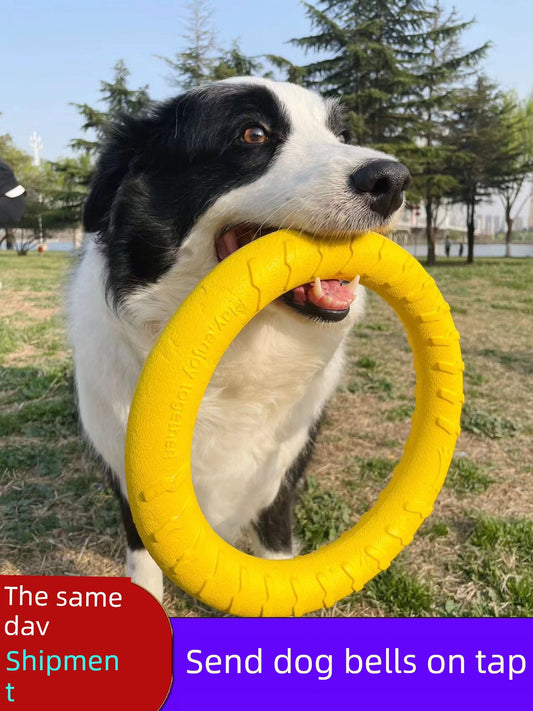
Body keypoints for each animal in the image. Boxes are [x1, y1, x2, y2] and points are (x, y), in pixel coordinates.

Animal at [68, 76, 410, 600]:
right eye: (253, 134)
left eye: (342, 135)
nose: (392, 179)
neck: (233, 366)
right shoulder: (127, 475)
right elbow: (143, 560)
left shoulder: (280, 476)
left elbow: (277, 552)